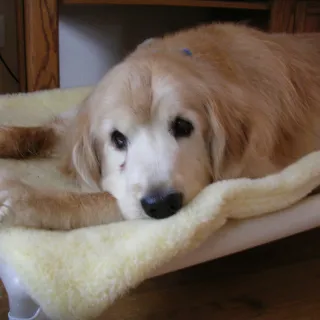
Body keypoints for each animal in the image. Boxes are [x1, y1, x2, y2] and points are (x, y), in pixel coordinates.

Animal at [0, 23, 318, 230]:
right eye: (117, 139)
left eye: (183, 126)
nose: (162, 204)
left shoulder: (251, 176)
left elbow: (105, 199)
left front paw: (28, 199)